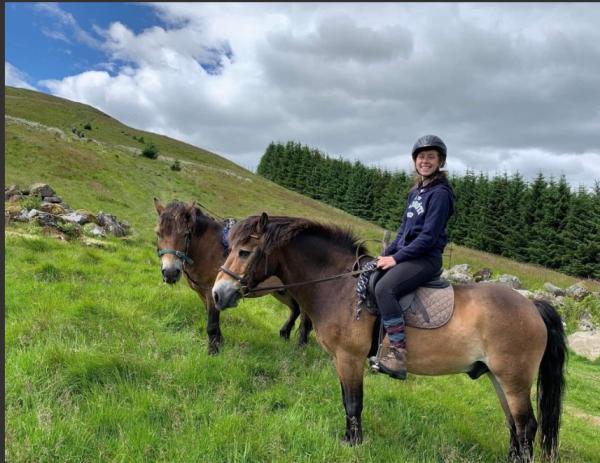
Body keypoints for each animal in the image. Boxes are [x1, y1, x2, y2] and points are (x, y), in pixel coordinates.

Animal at [152, 199, 312, 356]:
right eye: (158, 233)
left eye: (185, 234)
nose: (170, 273)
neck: (207, 248)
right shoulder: (205, 294)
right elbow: (212, 319)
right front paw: (219, 342)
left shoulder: (212, 292)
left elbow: (212, 324)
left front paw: (213, 351)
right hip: (281, 291)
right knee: (295, 309)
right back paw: (285, 334)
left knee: (305, 318)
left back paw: (301, 347)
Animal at [214, 215, 568, 463]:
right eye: (229, 249)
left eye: (244, 252)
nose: (218, 294)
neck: (340, 287)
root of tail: (533, 307)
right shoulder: (343, 360)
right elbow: (347, 400)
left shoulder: (350, 358)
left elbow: (353, 402)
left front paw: (353, 444)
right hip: (499, 377)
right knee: (515, 425)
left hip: (513, 378)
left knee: (527, 426)